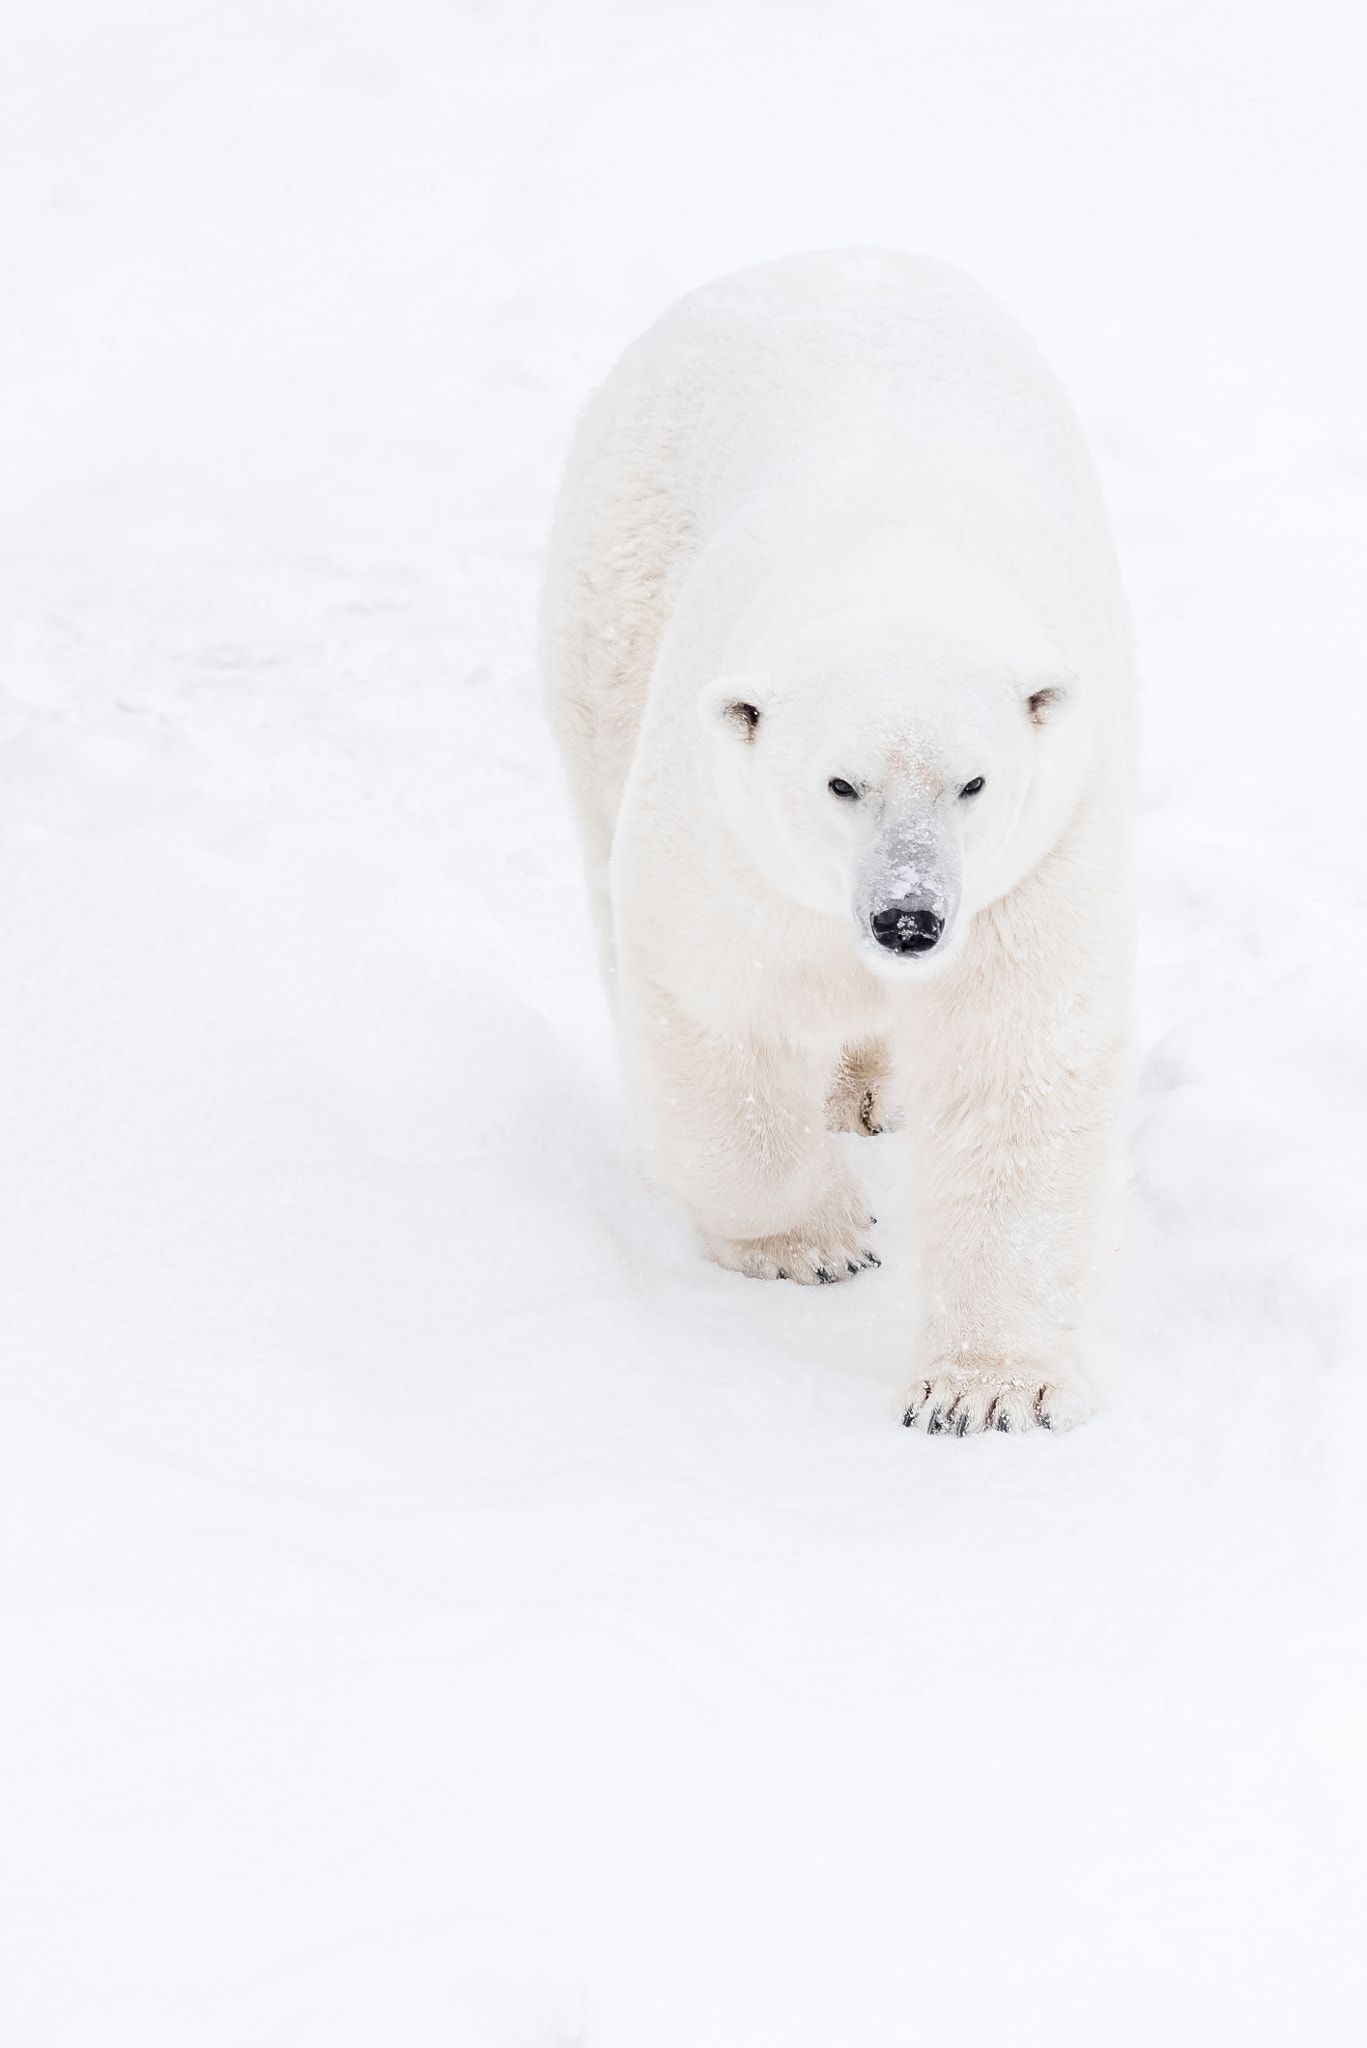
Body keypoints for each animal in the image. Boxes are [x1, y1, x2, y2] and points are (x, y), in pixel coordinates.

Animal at [541, 256, 1131, 1433]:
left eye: (972, 782)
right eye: (839, 783)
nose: (907, 919)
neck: (895, 561)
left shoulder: (1035, 865)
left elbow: (1017, 1066)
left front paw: (981, 1390)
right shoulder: (724, 830)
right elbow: (711, 1008)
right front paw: (811, 1243)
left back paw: (861, 1086)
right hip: (614, 595)